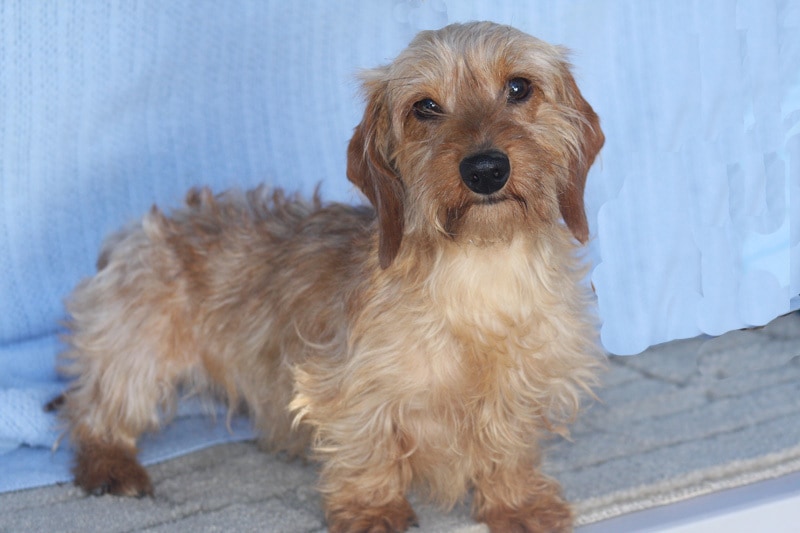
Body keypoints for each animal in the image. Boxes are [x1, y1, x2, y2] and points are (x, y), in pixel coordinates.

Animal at [57, 20, 608, 532]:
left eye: (518, 87)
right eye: (425, 107)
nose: (486, 169)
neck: (479, 274)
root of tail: (150, 225)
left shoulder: (522, 385)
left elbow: (507, 448)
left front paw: (518, 504)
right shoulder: (347, 383)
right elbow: (367, 445)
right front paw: (374, 509)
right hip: (134, 349)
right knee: (91, 411)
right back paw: (110, 463)